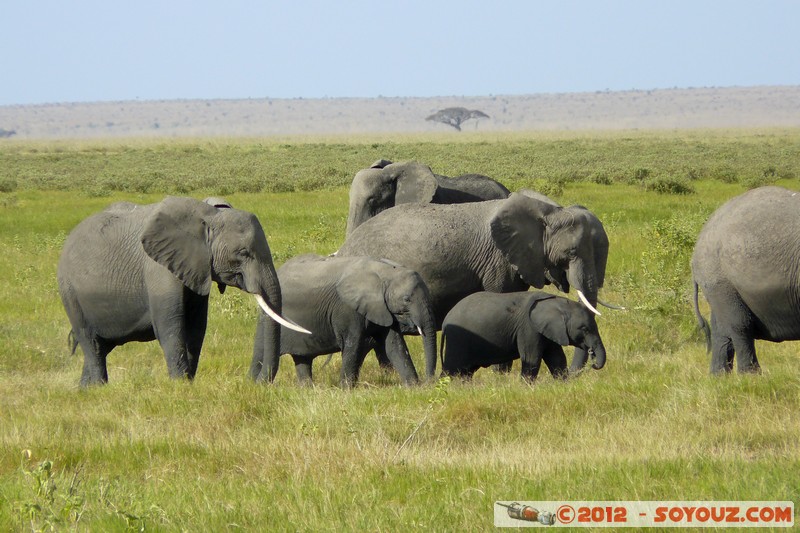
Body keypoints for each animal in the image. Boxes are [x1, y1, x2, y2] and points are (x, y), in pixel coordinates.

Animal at [57, 196, 309, 387]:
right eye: (244, 253)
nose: (254, 382)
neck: (208, 216)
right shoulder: (159, 269)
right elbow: (171, 326)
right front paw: (179, 386)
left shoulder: (196, 269)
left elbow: (196, 327)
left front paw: (188, 383)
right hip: (69, 292)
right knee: (91, 342)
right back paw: (100, 388)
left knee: (100, 347)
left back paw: (85, 390)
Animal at [251, 254, 437, 386]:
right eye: (407, 299)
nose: (428, 383)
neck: (385, 271)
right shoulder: (347, 308)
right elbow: (353, 343)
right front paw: (346, 389)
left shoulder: (382, 308)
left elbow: (394, 345)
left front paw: (412, 386)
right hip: (266, 317)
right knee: (260, 352)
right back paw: (253, 385)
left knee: (303, 359)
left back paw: (307, 388)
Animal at [440, 291, 607, 379]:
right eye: (584, 329)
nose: (593, 361)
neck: (556, 302)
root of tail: (445, 320)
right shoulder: (529, 329)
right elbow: (531, 359)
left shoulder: (548, 331)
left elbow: (557, 359)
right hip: (457, 338)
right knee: (451, 369)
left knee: (465, 372)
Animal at [691, 185, 800, 374]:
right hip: (721, 281)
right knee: (739, 326)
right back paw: (751, 376)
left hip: (717, 283)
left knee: (721, 330)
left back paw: (718, 377)